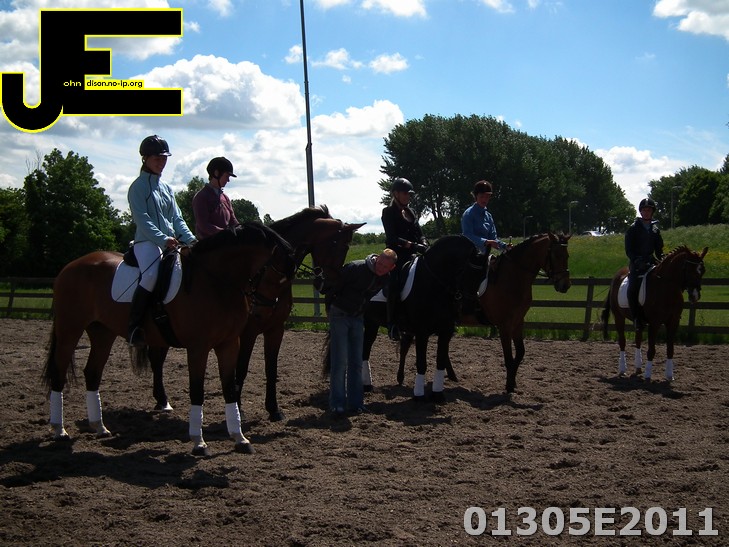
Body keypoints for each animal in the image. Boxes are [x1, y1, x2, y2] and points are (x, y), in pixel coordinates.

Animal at [42, 222, 292, 455]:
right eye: (273, 275)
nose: (262, 313)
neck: (215, 281)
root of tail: (71, 266)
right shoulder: (198, 347)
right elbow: (197, 390)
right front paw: (199, 443)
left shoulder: (229, 343)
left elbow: (230, 387)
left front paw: (240, 439)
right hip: (69, 330)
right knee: (59, 372)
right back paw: (59, 430)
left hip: (103, 333)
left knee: (92, 373)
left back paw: (99, 426)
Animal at [148, 206, 364, 422]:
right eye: (340, 246)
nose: (328, 285)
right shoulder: (247, 332)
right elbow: (241, 368)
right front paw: (239, 408)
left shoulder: (275, 329)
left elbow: (271, 369)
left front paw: (273, 409)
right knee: (156, 360)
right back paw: (162, 400)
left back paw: (161, 399)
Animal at [476, 232, 572, 394]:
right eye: (556, 255)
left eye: (567, 256)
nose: (565, 285)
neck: (512, 276)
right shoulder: (504, 325)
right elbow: (508, 358)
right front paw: (508, 386)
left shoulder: (518, 322)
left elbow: (520, 353)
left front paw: (513, 383)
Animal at [601, 245, 708, 381]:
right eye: (689, 270)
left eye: (702, 270)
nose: (695, 296)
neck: (666, 287)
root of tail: (617, 276)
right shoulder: (655, 323)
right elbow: (651, 349)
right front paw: (648, 375)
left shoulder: (673, 322)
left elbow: (670, 348)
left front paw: (669, 375)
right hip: (618, 316)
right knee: (622, 341)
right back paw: (622, 370)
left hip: (638, 321)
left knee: (638, 340)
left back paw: (638, 368)